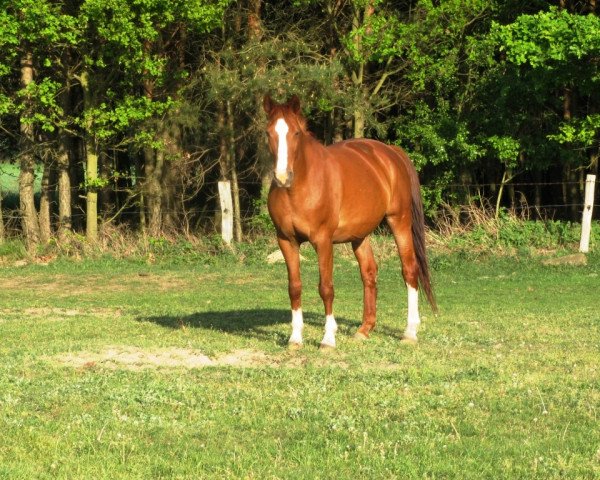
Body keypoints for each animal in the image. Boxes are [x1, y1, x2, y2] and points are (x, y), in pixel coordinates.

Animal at [262, 94, 436, 348]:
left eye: (295, 133)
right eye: (268, 133)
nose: (283, 177)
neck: (299, 187)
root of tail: (390, 153)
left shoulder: (323, 241)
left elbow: (326, 288)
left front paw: (328, 339)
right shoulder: (286, 241)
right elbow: (294, 288)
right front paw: (295, 338)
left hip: (400, 221)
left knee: (409, 271)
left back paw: (410, 332)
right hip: (360, 235)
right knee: (369, 273)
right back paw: (365, 329)